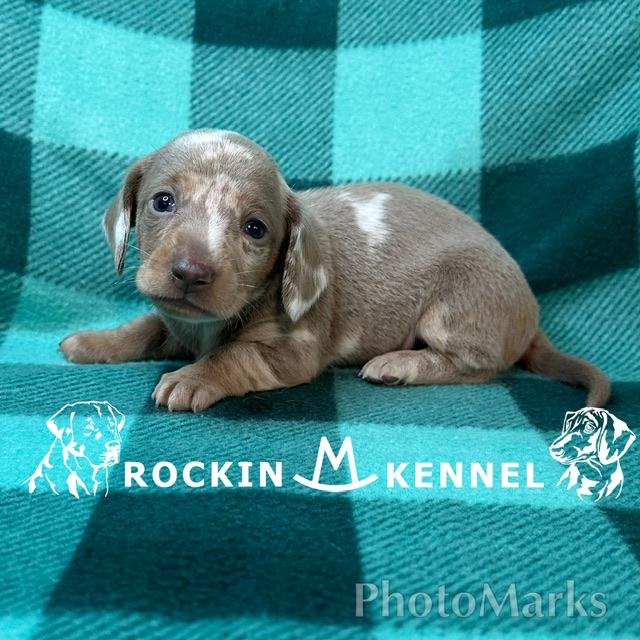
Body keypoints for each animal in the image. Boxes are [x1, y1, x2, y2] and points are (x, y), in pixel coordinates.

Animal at [59, 129, 610, 412]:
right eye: (163, 201)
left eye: (255, 229)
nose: (191, 272)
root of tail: (531, 313)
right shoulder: (175, 318)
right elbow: (146, 327)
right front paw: (94, 342)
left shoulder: (292, 350)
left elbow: (235, 356)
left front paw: (193, 377)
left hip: (459, 305)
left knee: (481, 367)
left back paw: (399, 365)